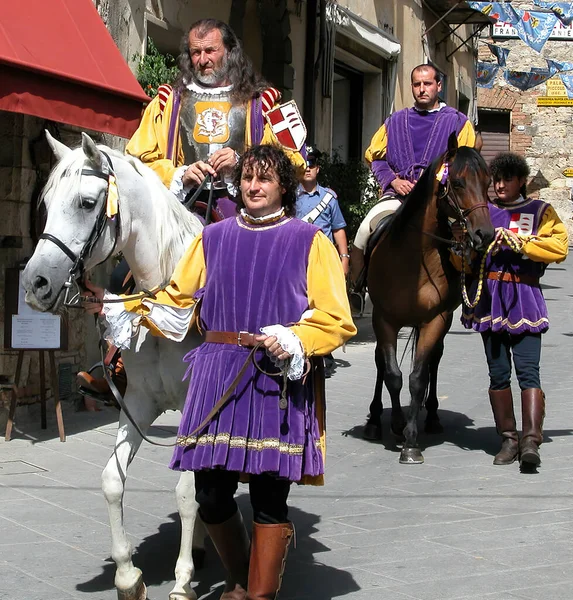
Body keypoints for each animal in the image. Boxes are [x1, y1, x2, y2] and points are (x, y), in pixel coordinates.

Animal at [25, 131, 208, 600]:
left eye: (87, 203)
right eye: (46, 201)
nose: (34, 283)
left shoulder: (199, 407)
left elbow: (186, 492)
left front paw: (182, 581)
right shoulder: (138, 404)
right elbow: (112, 480)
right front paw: (128, 576)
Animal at [364, 135, 494, 464]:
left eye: (488, 182)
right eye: (458, 182)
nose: (484, 234)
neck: (412, 260)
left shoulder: (435, 320)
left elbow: (417, 377)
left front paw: (410, 441)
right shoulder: (384, 319)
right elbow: (392, 373)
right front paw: (394, 424)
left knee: (434, 361)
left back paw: (432, 417)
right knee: (382, 364)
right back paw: (376, 419)